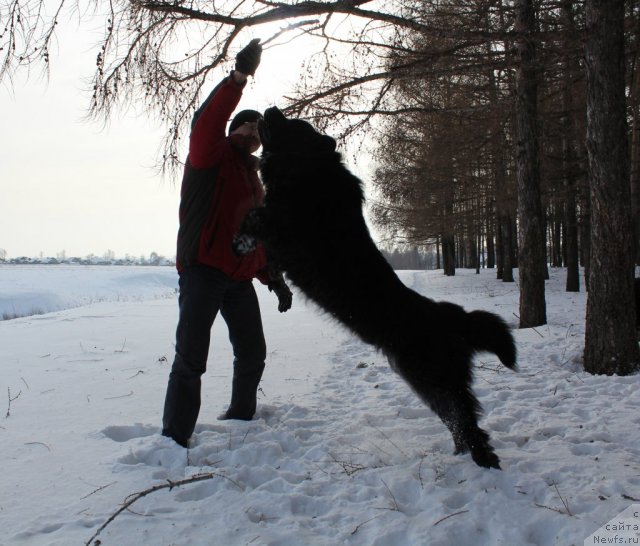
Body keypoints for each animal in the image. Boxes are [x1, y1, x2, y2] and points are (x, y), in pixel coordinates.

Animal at [232, 107, 516, 468]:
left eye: (292, 125)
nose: (270, 110)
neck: (308, 173)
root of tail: (448, 317)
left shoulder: (284, 227)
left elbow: (253, 216)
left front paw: (239, 243)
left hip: (432, 378)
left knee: (469, 423)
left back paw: (484, 462)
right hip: (428, 383)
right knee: (458, 421)